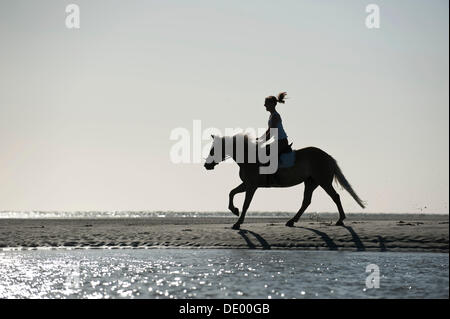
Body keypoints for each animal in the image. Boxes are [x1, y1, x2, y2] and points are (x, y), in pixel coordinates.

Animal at [204, 134, 366, 230]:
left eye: (214, 150)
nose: (207, 165)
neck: (248, 158)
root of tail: (328, 157)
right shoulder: (247, 184)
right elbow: (231, 192)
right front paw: (234, 210)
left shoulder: (252, 186)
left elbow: (245, 204)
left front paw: (238, 222)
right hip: (311, 182)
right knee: (306, 201)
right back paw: (292, 221)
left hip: (323, 181)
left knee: (335, 197)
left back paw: (340, 220)